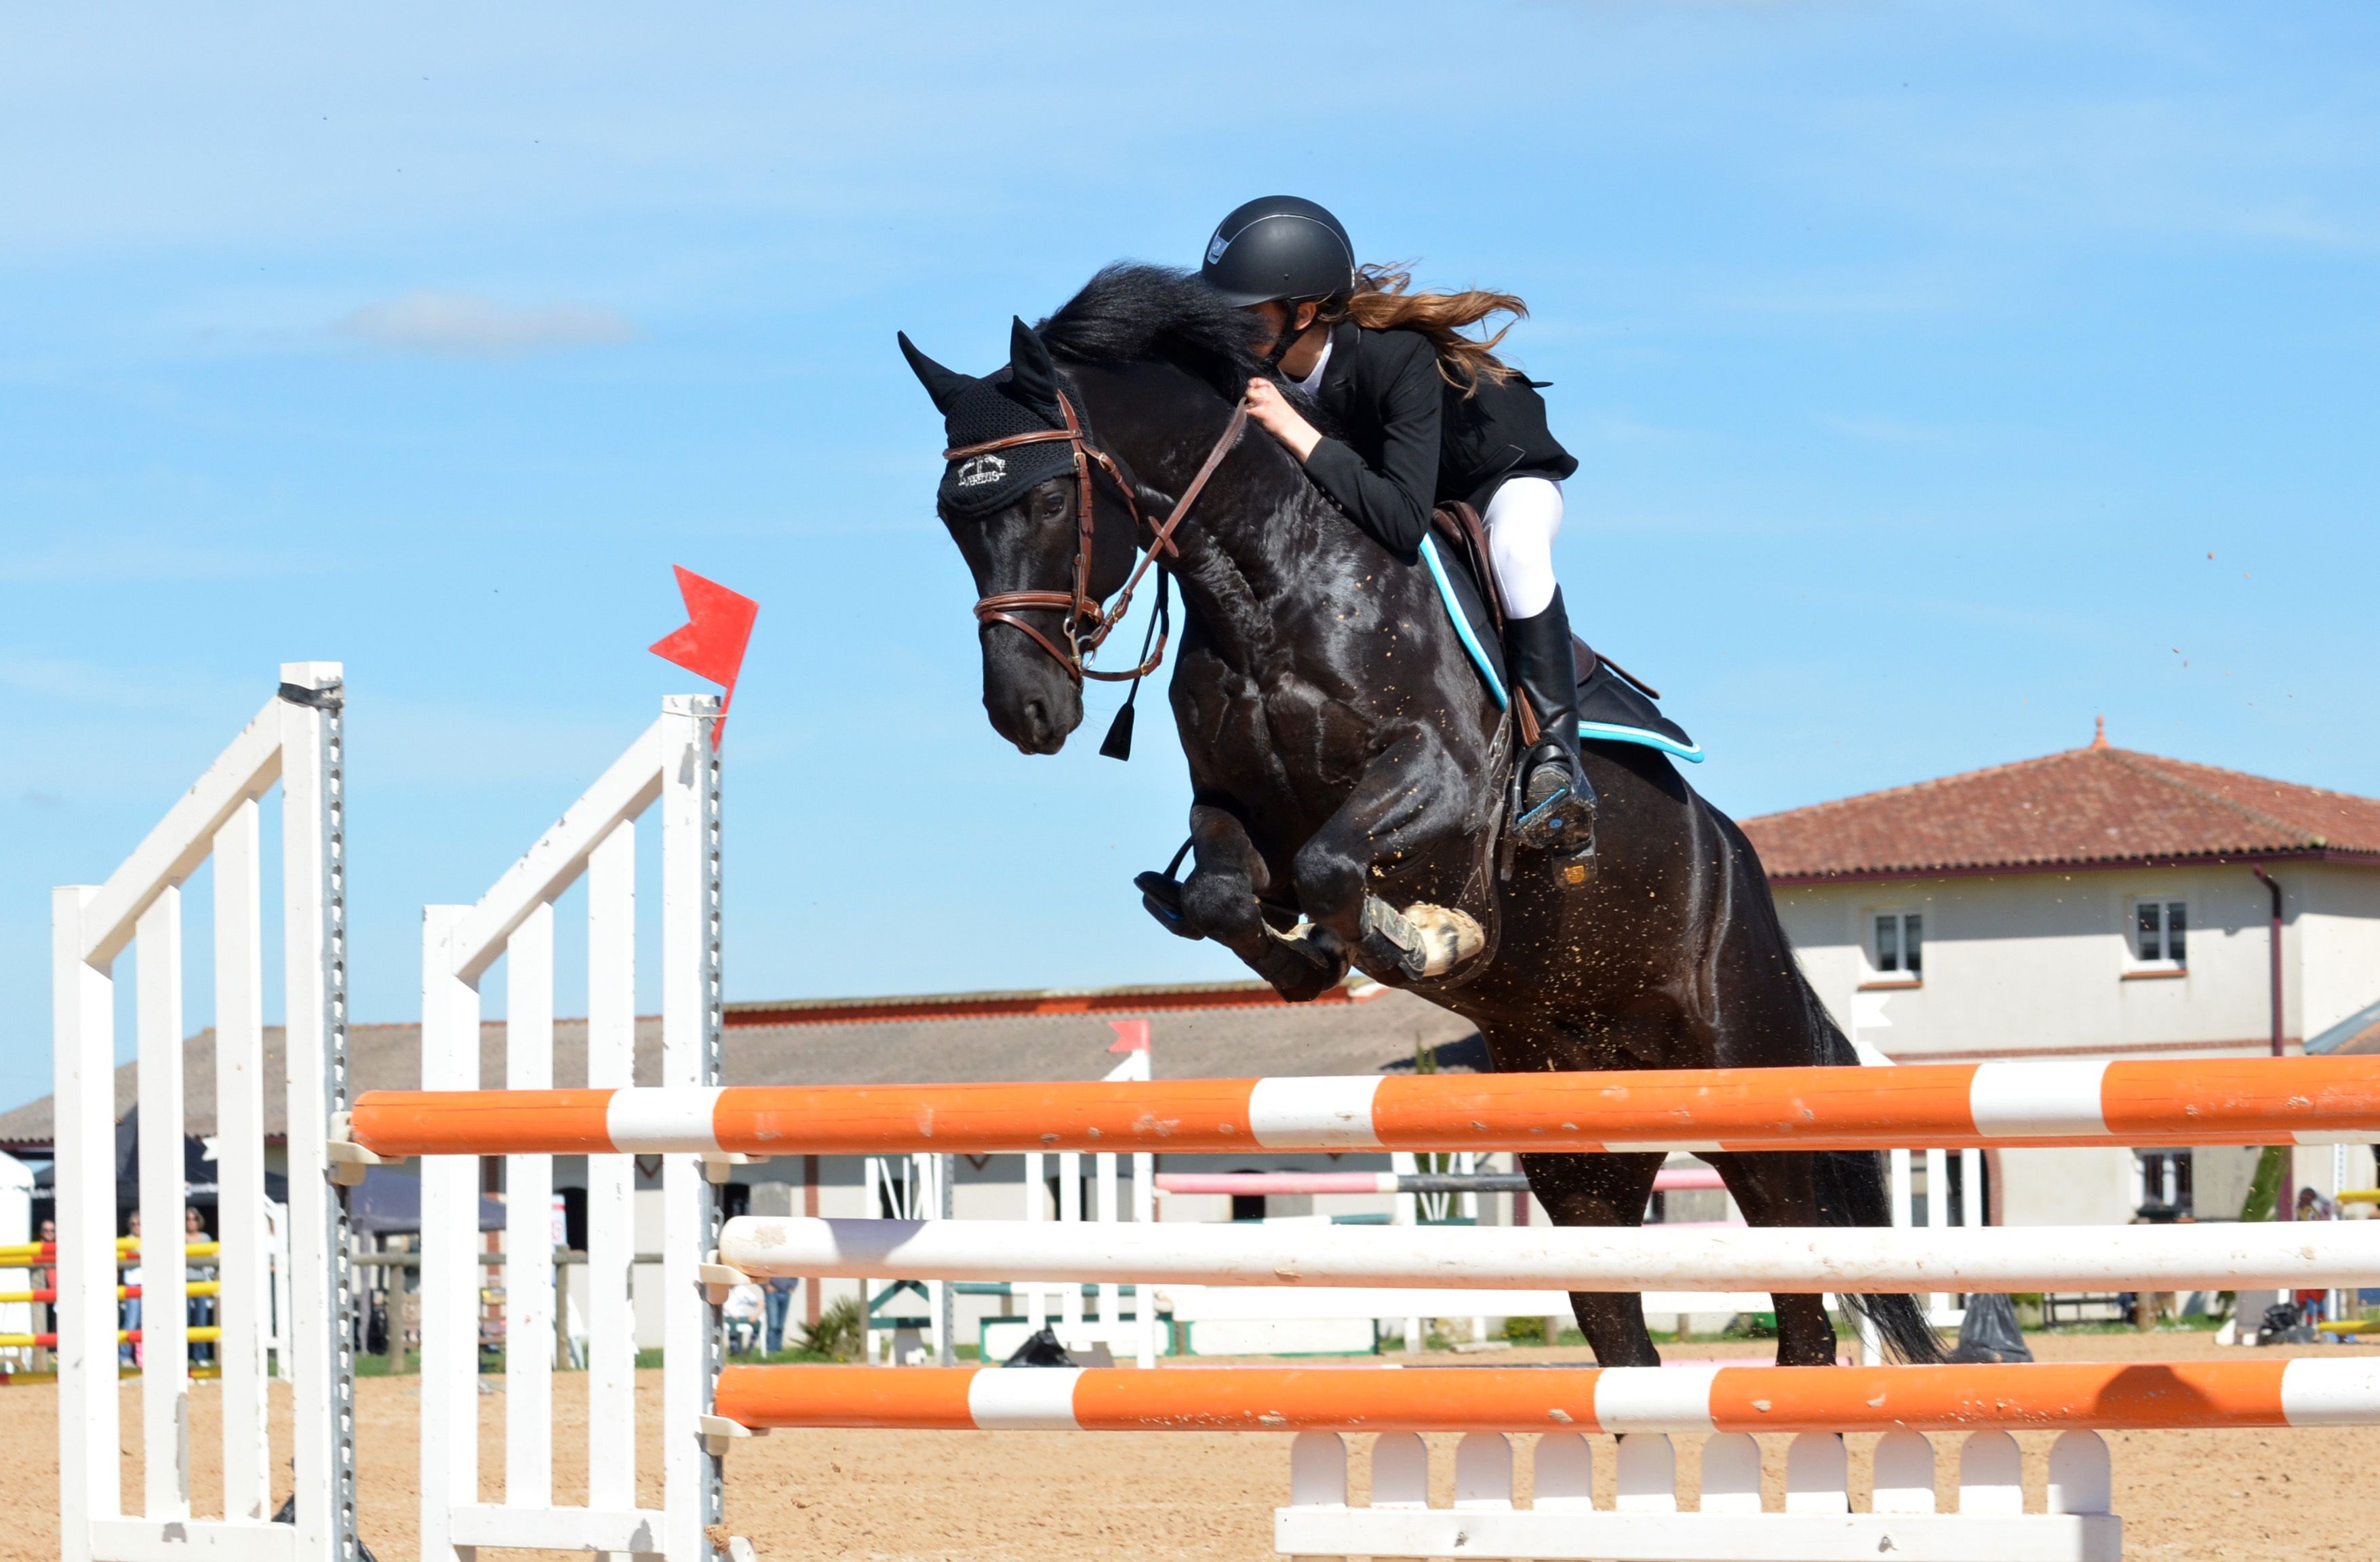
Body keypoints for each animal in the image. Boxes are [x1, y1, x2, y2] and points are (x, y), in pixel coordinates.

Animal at [899, 265, 1942, 1371]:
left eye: (1054, 496)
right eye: (953, 519)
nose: (1024, 711)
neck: (1267, 584)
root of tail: (1741, 871)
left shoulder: (1442, 782)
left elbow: (1335, 865)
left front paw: (1429, 939)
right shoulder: (1233, 809)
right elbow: (1232, 895)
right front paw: (1315, 960)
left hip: (1754, 1100)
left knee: (1804, 1318)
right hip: (1583, 1156)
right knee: (1623, 1332)